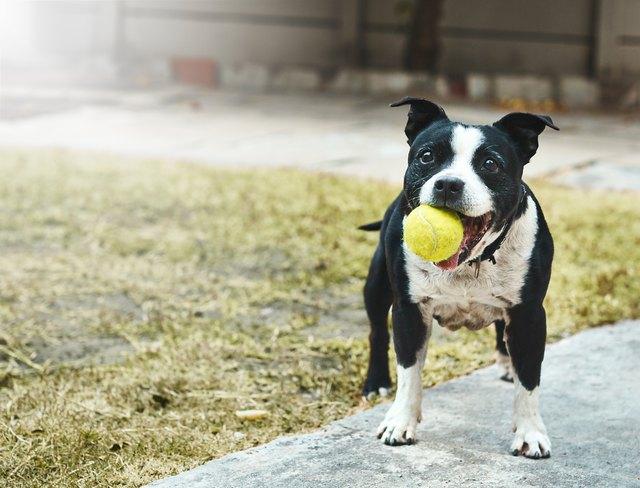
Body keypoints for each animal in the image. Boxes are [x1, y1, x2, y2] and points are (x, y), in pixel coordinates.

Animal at [362, 98, 556, 458]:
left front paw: (530, 433)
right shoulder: (408, 310)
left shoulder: (529, 315)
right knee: (377, 333)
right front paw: (400, 420)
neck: (471, 262)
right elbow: (409, 370)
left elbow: (529, 380)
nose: (449, 183)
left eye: (490, 164)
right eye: (427, 156)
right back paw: (376, 382)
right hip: (377, 286)